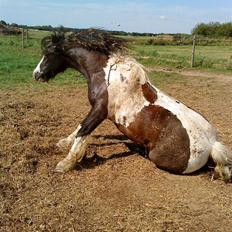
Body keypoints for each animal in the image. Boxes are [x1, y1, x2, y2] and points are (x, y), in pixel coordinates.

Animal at [33, 28, 232, 181]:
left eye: (48, 54)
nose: (36, 74)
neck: (104, 74)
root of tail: (211, 144)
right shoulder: (96, 110)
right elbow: (80, 127)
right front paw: (63, 143)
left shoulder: (99, 111)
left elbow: (84, 130)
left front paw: (65, 164)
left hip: (158, 157)